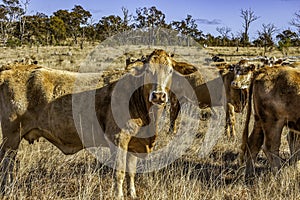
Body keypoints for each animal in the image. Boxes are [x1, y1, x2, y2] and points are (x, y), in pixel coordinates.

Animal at [0, 48, 196, 198]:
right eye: (148, 71)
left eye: (170, 71)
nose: (158, 96)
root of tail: (10, 68)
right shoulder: (118, 139)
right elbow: (119, 173)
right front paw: (118, 196)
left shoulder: (134, 143)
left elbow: (131, 172)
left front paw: (132, 194)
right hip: (11, 137)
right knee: (6, 164)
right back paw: (6, 189)